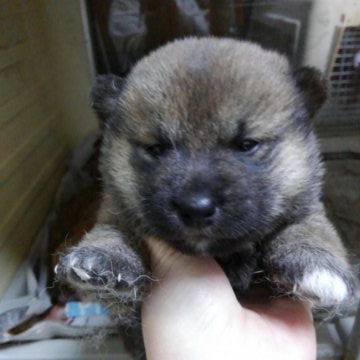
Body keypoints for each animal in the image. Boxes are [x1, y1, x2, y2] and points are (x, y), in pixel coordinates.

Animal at [56, 38, 354, 358]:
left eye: (247, 144)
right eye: (155, 148)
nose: (195, 208)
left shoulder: (307, 207)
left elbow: (310, 229)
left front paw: (316, 264)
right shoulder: (116, 210)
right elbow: (113, 230)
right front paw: (102, 258)